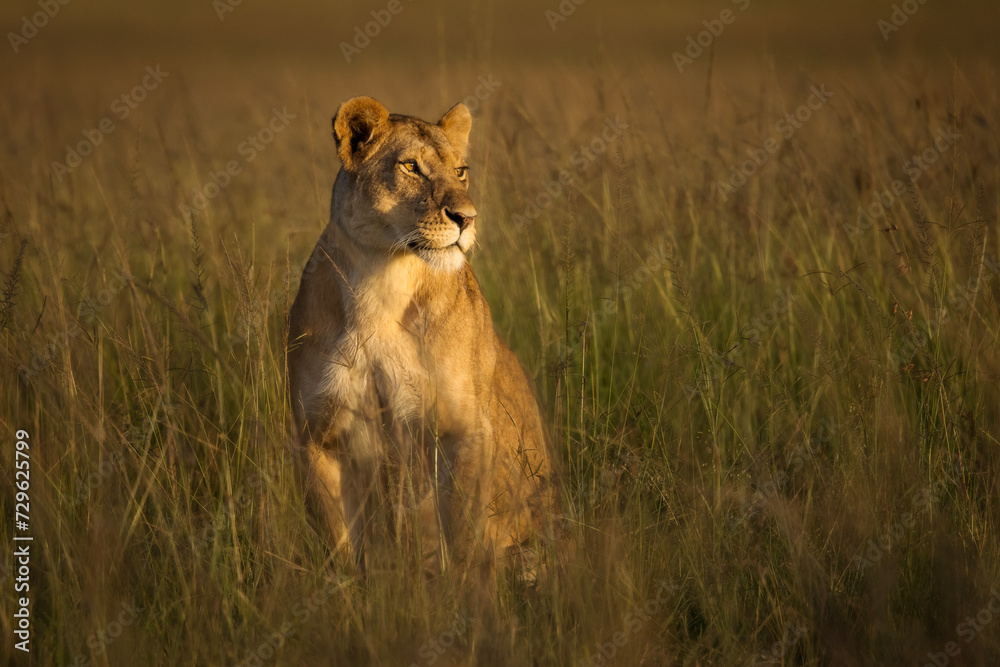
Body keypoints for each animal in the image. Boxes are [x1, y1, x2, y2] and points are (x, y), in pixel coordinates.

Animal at [287, 96, 554, 579]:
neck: (381, 280)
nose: (467, 218)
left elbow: (463, 540)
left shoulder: (464, 430)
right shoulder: (315, 436)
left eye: (461, 171)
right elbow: (339, 545)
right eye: (412, 167)